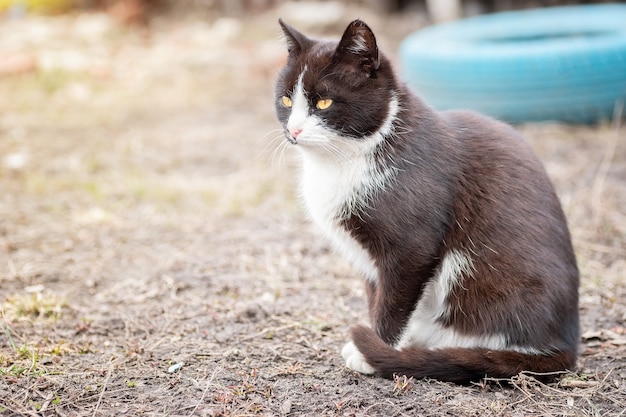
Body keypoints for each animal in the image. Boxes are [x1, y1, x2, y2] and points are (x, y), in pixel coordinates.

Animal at [272, 19, 576, 384]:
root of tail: (564, 346)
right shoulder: (369, 261)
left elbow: (394, 301)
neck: (342, 161)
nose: (293, 131)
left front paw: (371, 352)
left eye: (323, 104)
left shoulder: (412, 248)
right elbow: (376, 296)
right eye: (286, 100)